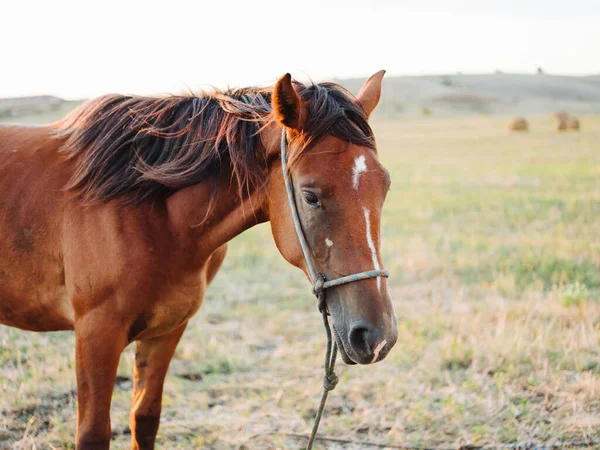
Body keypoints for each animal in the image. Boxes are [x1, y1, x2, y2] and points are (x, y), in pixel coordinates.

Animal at [0, 72, 398, 448]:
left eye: (385, 187)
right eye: (311, 195)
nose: (378, 337)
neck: (150, 212)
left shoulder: (167, 328)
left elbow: (144, 420)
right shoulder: (96, 333)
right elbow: (93, 434)